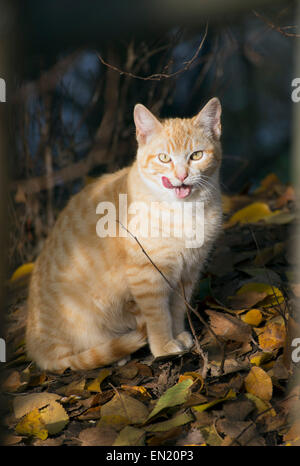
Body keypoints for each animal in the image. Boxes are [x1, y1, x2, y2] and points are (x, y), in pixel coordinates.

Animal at [25, 98, 223, 372]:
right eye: (164, 158)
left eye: (196, 156)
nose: (181, 176)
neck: (186, 210)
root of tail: (36, 350)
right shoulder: (148, 276)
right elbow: (159, 316)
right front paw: (164, 347)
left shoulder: (187, 271)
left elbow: (176, 308)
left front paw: (179, 334)